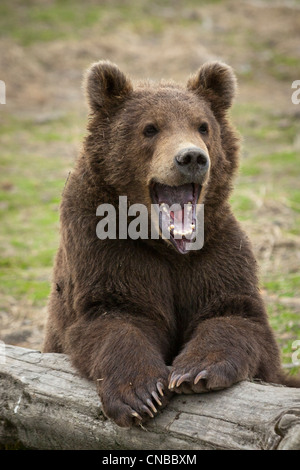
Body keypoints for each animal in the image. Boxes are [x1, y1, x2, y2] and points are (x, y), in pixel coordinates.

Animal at [43, 60, 298, 428]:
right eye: (150, 128)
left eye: (203, 126)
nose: (191, 158)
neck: (165, 246)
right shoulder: (102, 246)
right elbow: (114, 316)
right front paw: (139, 394)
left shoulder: (215, 250)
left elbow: (235, 314)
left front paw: (196, 371)